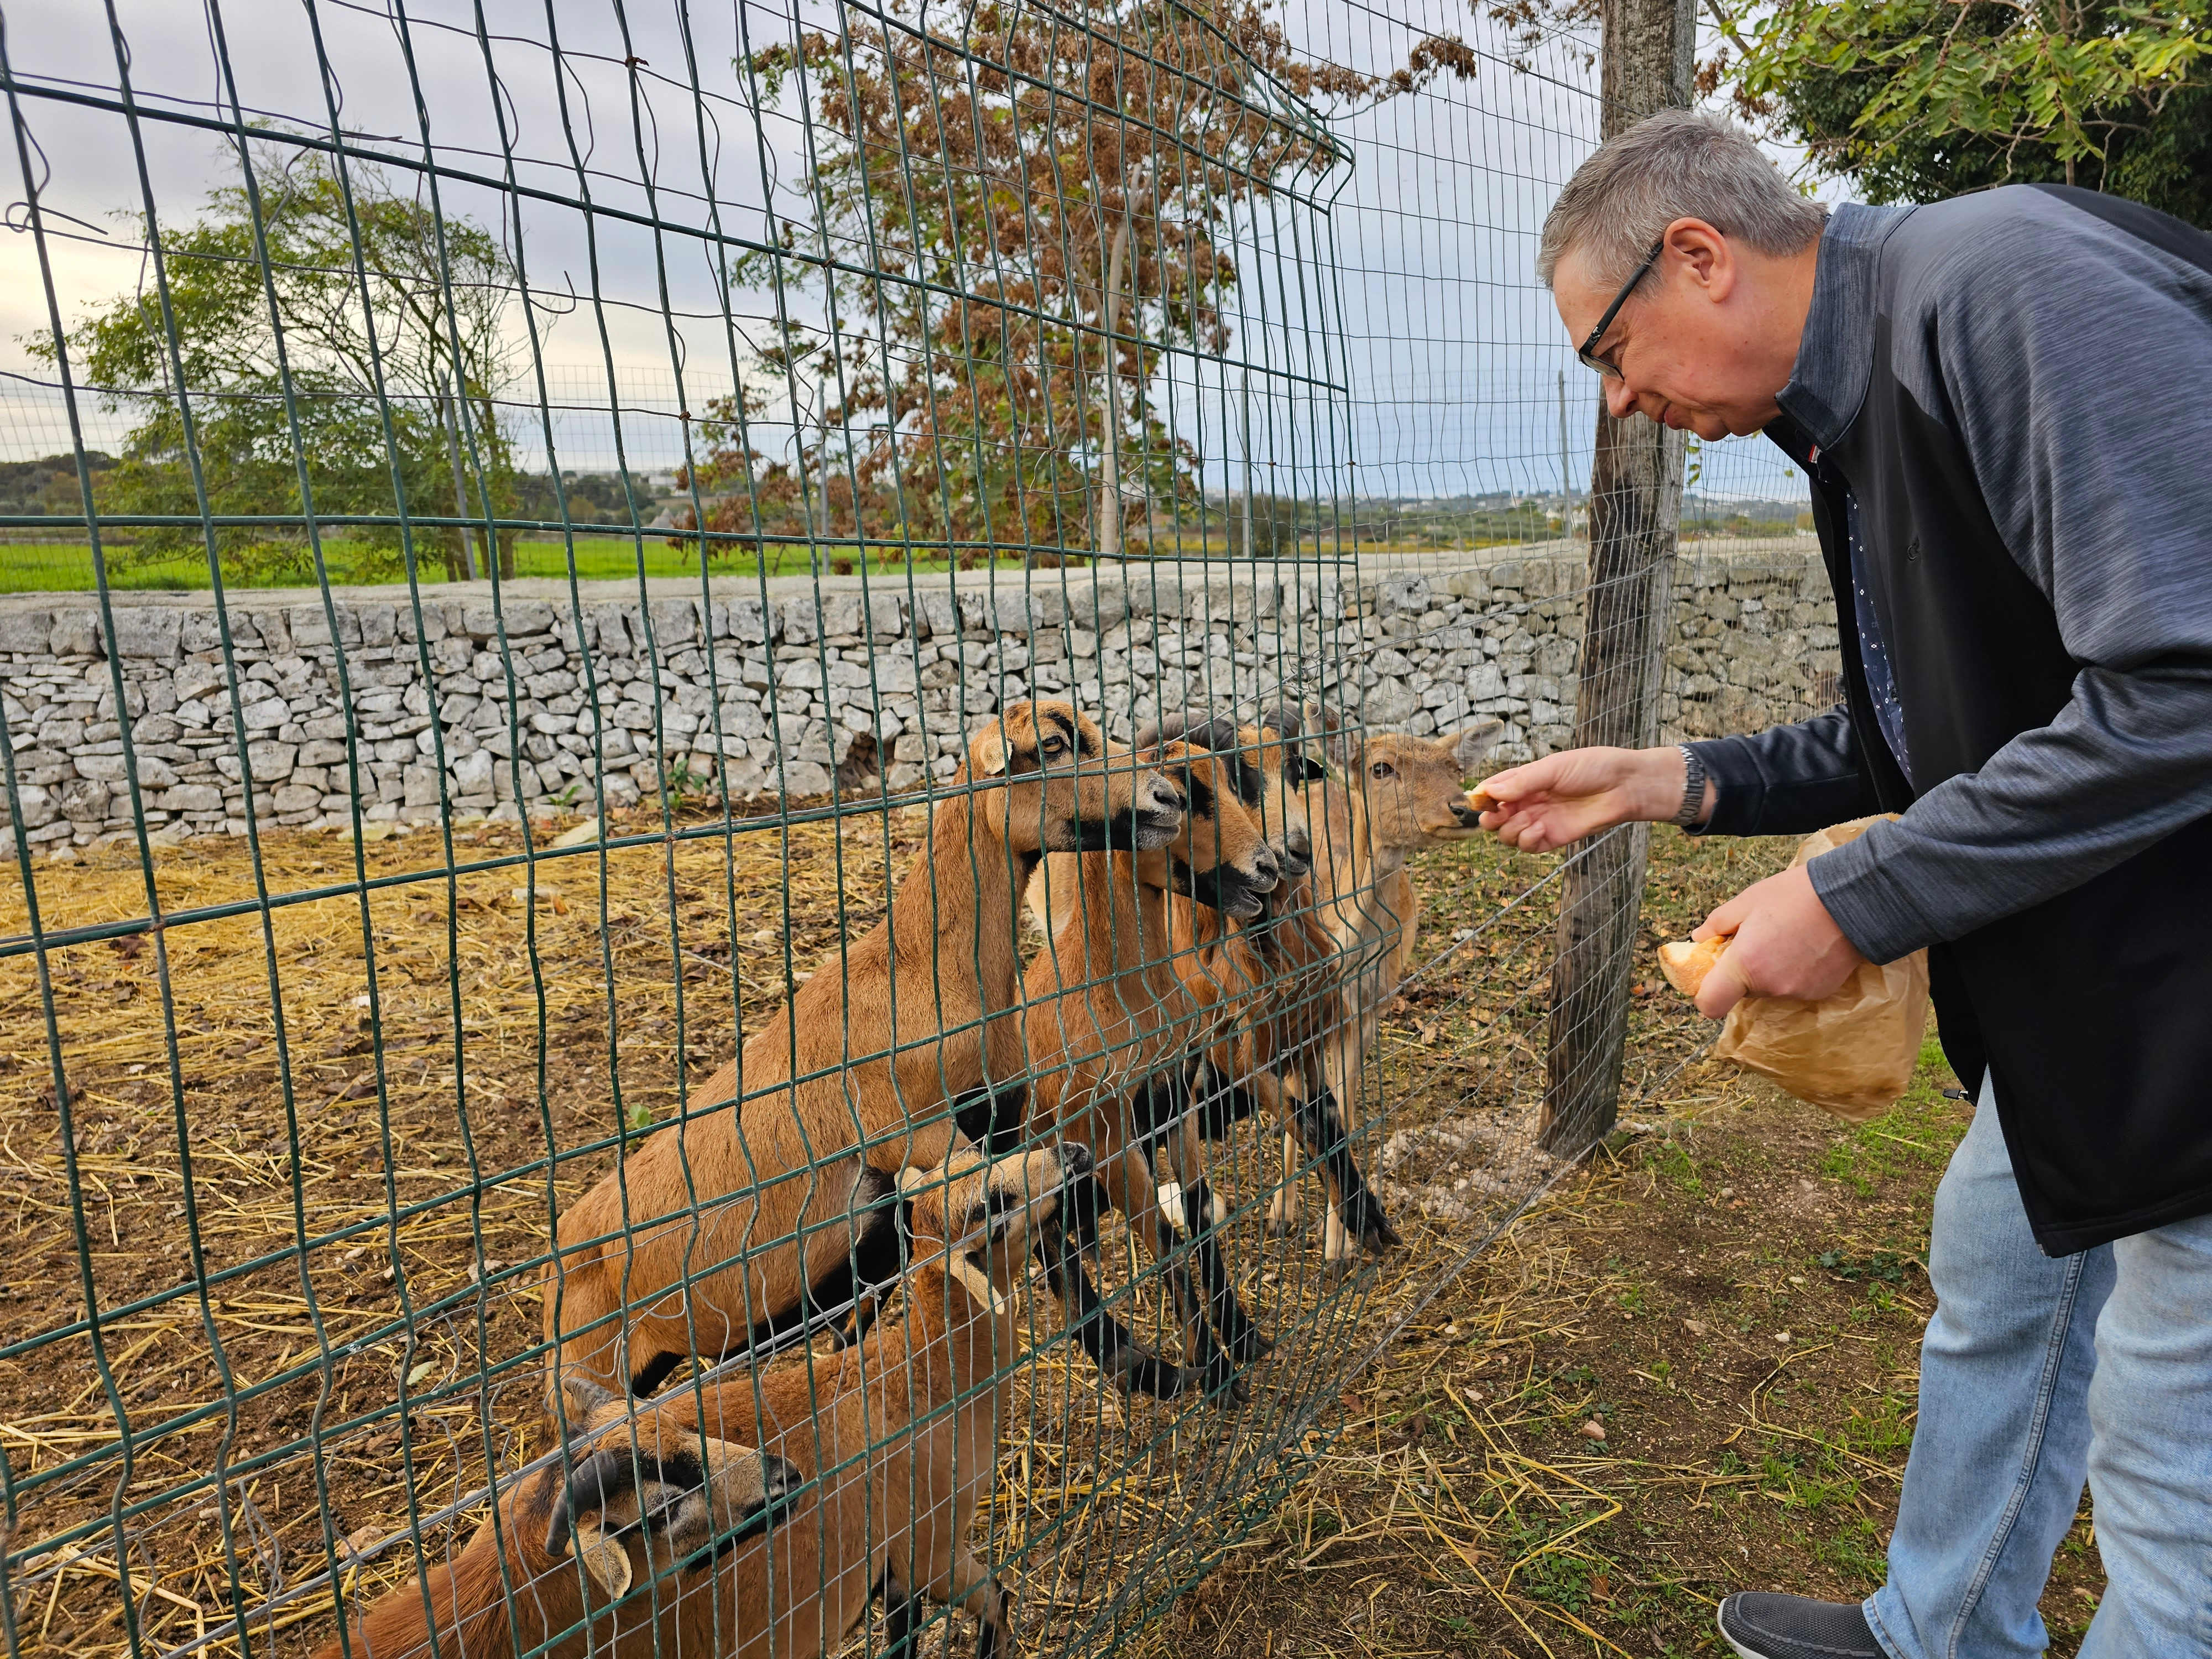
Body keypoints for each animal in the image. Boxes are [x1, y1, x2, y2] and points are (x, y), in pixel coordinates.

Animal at [544, 699, 1186, 1407]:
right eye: (1050, 745)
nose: (1169, 798)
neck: (922, 970)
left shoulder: (995, 1128)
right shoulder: (924, 1138)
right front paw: (1152, 1367)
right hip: (591, 1370)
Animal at [1013, 739, 1283, 1407]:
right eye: (1183, 798)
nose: (1268, 868)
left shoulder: (1175, 1103)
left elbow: (1201, 1213)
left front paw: (1243, 1339)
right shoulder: (1108, 1134)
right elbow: (1165, 1241)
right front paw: (1217, 1375)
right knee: (1052, 1251)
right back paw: (1138, 1365)